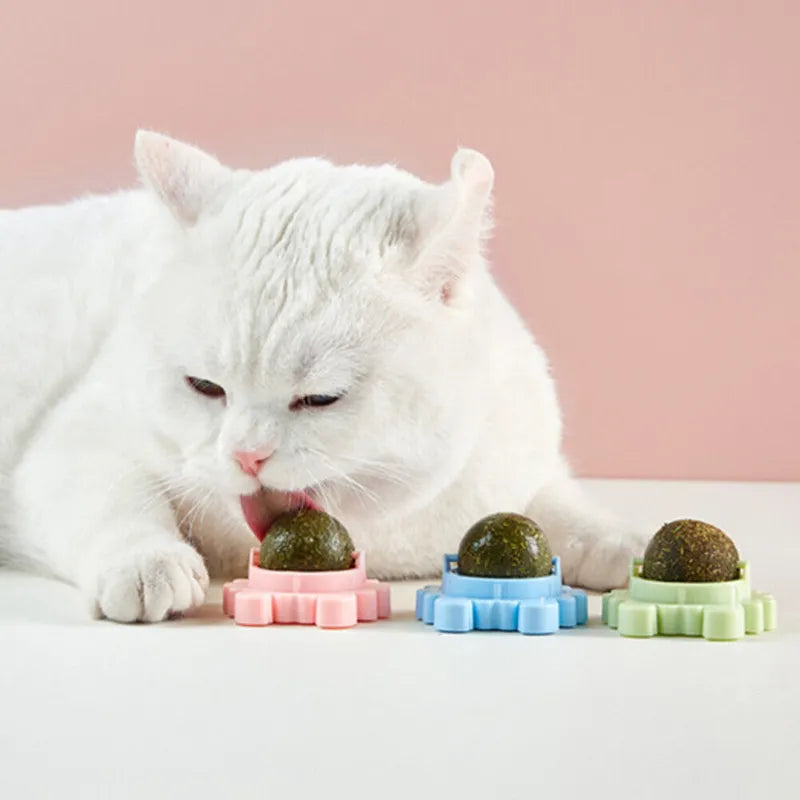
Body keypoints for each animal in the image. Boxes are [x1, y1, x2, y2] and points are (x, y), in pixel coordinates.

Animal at [0, 131, 648, 620]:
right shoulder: (77, 437)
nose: (247, 456)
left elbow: (558, 504)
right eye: (206, 388)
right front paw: (147, 562)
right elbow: (119, 500)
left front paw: (623, 541)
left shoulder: (516, 461)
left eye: (320, 399)